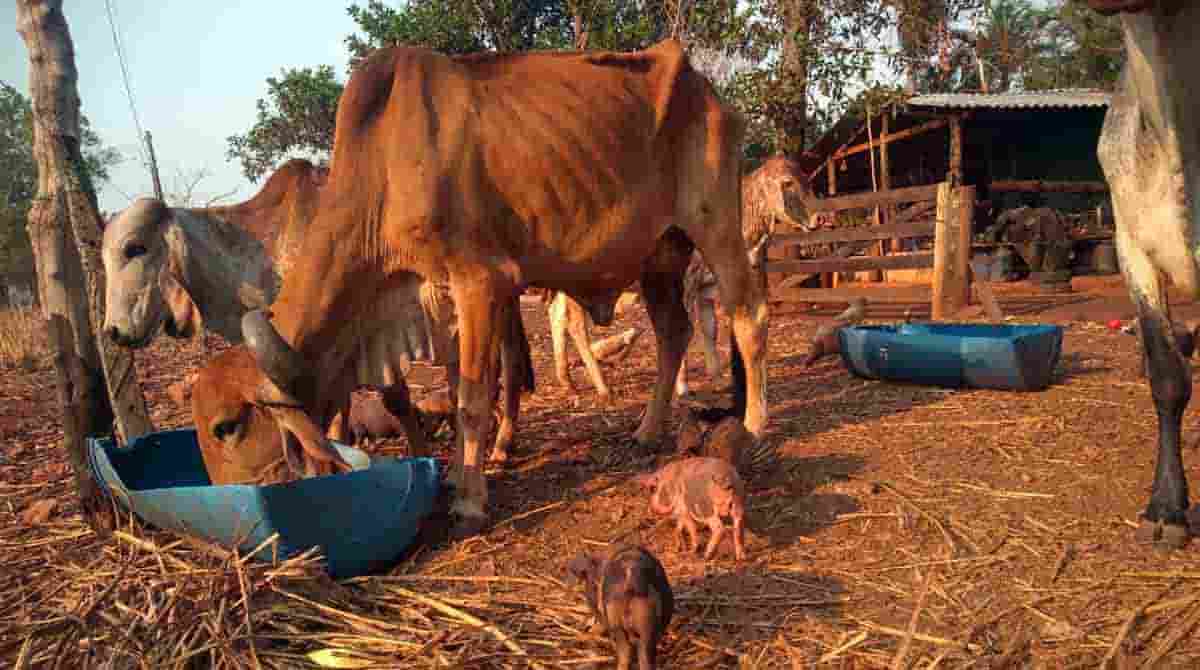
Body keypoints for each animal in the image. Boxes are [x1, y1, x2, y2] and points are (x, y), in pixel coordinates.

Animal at [229, 38, 763, 540]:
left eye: (253, 421)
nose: (298, 470)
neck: (383, 164)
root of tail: (708, 92)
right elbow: (458, 386)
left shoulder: (479, 280)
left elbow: (472, 397)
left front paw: (470, 501)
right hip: (659, 256)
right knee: (673, 332)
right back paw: (647, 431)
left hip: (715, 224)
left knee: (748, 317)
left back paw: (754, 426)